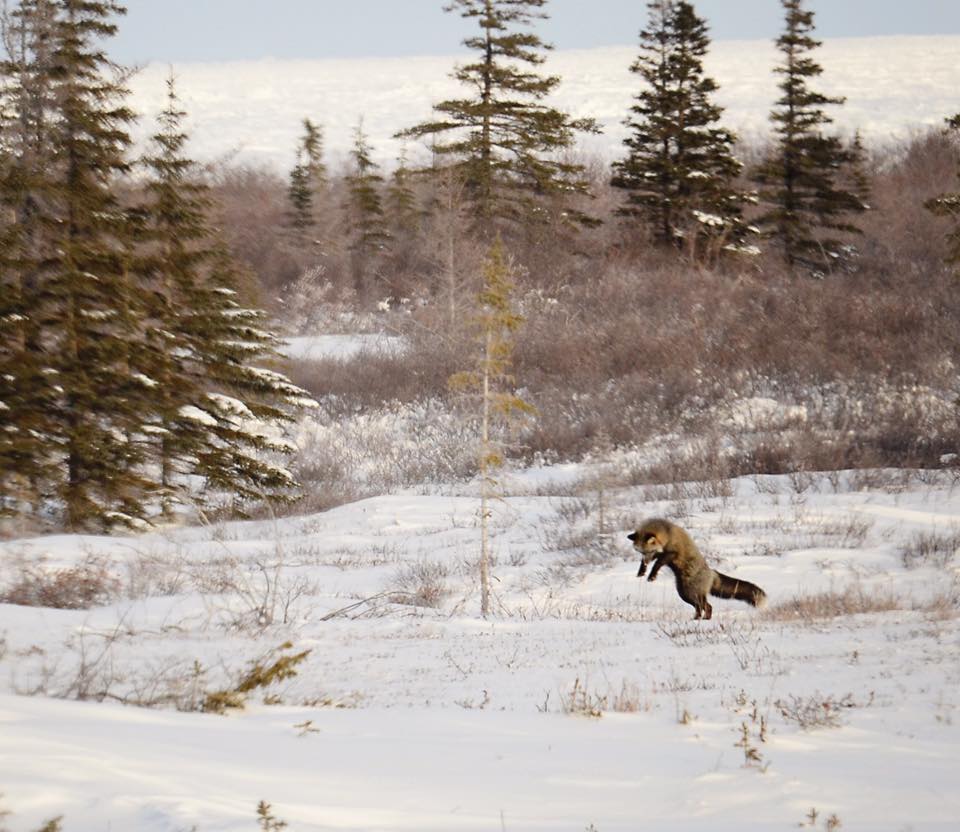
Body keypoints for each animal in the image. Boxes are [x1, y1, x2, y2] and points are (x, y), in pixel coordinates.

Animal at [628, 518, 766, 620]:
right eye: (640, 552)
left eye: (648, 551)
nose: (646, 561)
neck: (668, 535)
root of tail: (712, 572)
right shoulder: (659, 553)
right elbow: (649, 563)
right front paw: (642, 571)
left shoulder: (671, 553)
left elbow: (658, 563)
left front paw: (652, 575)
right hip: (685, 594)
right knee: (702, 607)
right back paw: (698, 619)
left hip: (691, 594)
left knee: (707, 607)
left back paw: (704, 620)